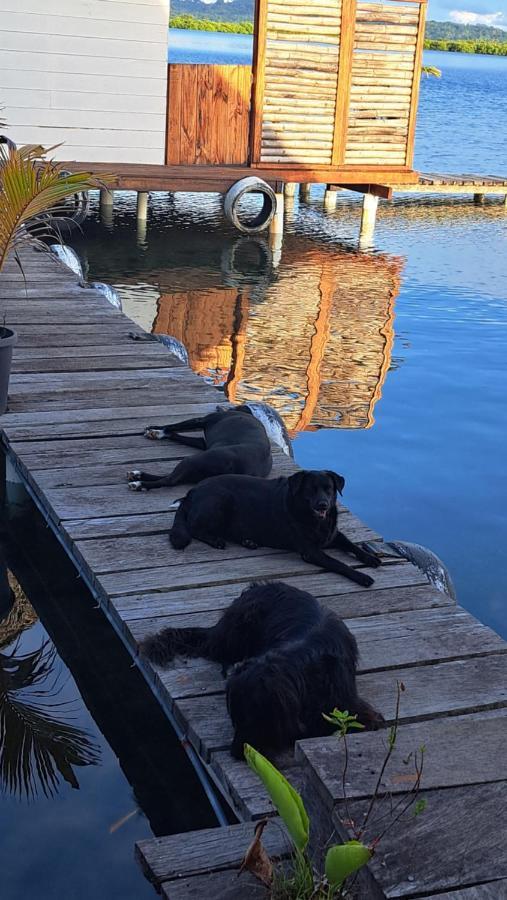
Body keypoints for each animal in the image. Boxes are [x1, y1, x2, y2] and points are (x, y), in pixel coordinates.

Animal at [127, 406, 272, 492]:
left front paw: (156, 430)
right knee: (170, 478)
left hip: (191, 460)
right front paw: (159, 433)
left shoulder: (199, 420)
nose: (218, 407)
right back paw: (137, 475)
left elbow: (172, 426)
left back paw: (139, 484)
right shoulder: (203, 443)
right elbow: (176, 433)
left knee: (169, 480)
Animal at [171, 468, 380, 588]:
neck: (317, 521)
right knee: (195, 528)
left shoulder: (334, 535)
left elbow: (352, 546)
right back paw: (216, 541)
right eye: (310, 489)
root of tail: (192, 491)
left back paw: (248, 541)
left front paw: (370, 558)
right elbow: (339, 563)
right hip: (221, 500)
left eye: (329, 488)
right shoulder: (311, 551)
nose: (323, 505)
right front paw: (361, 576)